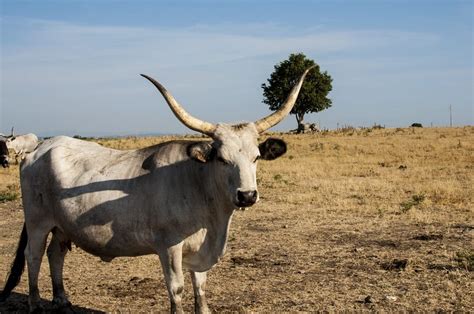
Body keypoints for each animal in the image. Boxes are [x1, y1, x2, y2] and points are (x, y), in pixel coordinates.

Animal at [0, 66, 314, 312]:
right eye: (222, 159)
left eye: (256, 157)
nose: (247, 196)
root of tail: (39, 149)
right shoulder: (169, 247)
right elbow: (177, 290)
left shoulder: (200, 252)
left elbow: (200, 289)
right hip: (38, 222)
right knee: (33, 256)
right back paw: (35, 304)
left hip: (62, 225)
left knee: (56, 254)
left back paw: (62, 299)